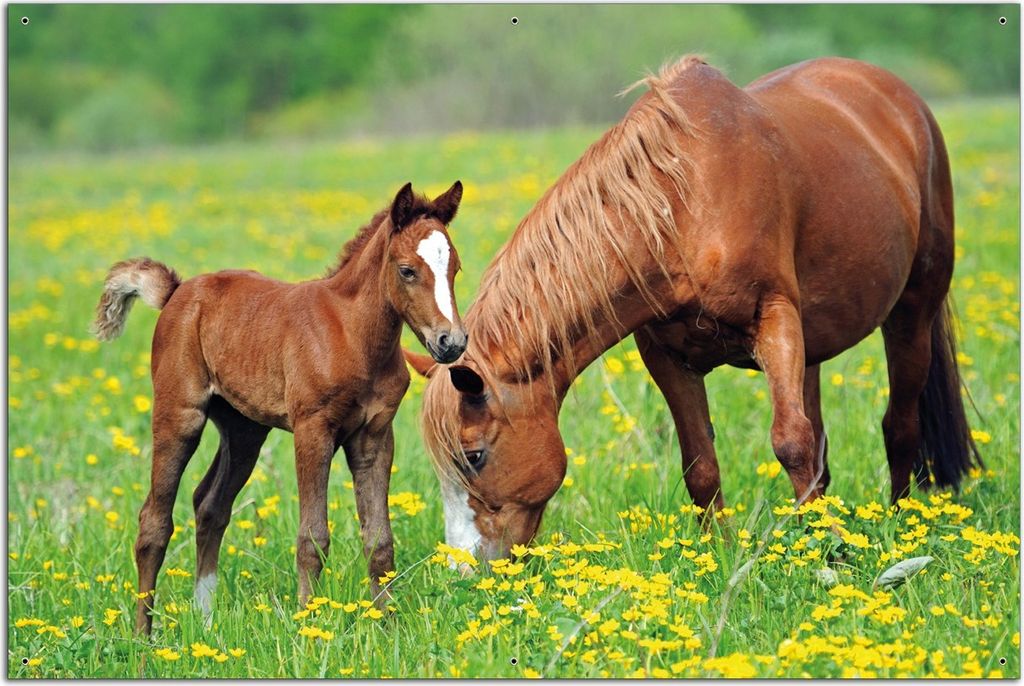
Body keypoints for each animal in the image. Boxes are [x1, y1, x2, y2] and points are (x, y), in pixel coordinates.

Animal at [93, 181, 467, 634]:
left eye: (455, 269)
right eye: (407, 270)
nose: (451, 342)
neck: (352, 334)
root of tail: (177, 292)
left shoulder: (375, 435)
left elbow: (379, 538)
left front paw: (388, 624)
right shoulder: (312, 430)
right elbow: (313, 536)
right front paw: (308, 621)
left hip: (244, 430)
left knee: (210, 505)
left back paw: (205, 619)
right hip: (179, 414)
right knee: (154, 520)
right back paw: (142, 636)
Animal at [411, 56, 980, 563]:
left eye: (474, 456)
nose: (465, 567)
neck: (684, 205)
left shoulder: (774, 318)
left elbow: (790, 442)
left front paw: (829, 553)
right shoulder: (667, 355)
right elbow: (701, 465)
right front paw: (719, 555)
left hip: (911, 313)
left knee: (898, 425)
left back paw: (900, 523)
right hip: (814, 345)